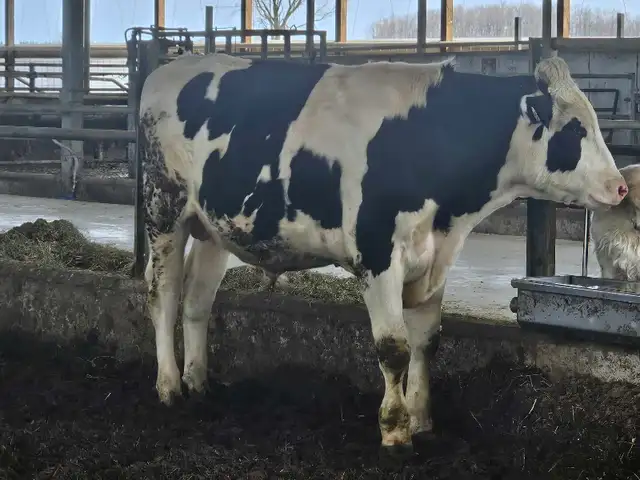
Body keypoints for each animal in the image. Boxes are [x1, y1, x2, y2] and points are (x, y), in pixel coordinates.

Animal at [138, 53, 628, 460]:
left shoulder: (434, 257)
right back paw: (168, 387)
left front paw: (422, 418)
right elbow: (393, 347)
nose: (621, 186)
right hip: (164, 211)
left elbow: (426, 342)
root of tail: (169, 68)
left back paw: (198, 382)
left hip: (212, 229)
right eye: (576, 129)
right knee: (163, 295)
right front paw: (395, 431)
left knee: (198, 302)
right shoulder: (376, 255)